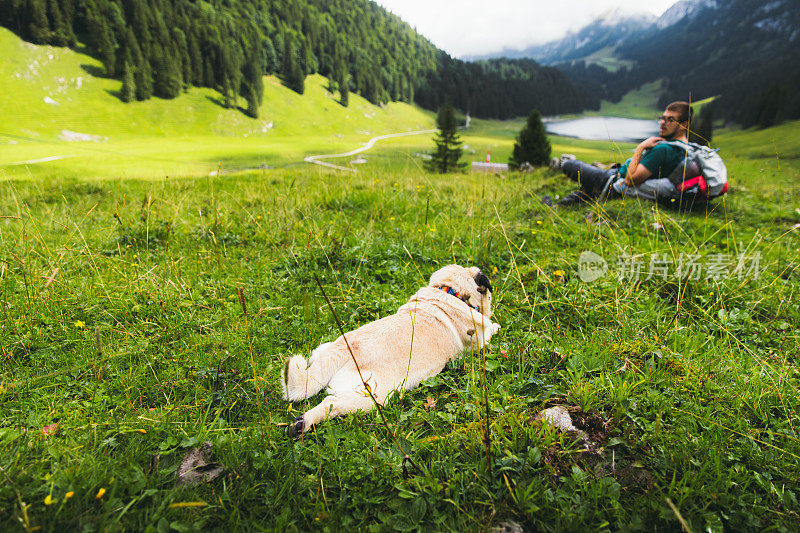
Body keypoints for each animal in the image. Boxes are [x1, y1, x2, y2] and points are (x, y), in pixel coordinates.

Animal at [278, 264, 496, 436]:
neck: (448, 292)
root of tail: (345, 348)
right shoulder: (479, 342)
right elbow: (491, 330)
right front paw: (496, 325)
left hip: (323, 352)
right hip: (372, 397)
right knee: (331, 403)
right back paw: (304, 423)